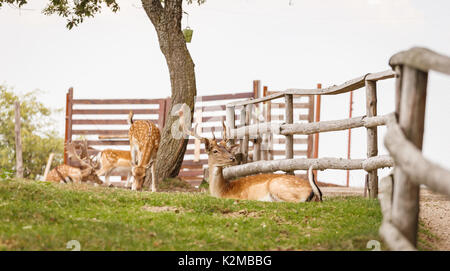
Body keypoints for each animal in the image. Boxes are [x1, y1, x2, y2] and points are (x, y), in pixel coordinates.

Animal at [178, 109, 322, 203]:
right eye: (215, 151)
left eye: (228, 149)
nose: (232, 158)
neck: (222, 191)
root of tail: (313, 191)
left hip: (278, 186)